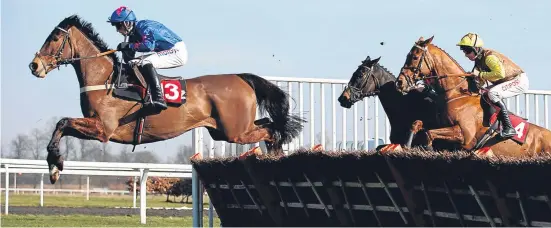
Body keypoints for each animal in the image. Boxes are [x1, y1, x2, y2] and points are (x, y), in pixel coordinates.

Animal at [28, 14, 304, 183]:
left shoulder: (103, 129)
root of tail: (241, 77)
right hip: (226, 130)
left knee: (272, 130)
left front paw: (55, 165)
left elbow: (62, 122)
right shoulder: (96, 127)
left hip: (236, 131)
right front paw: (54, 167)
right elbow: (61, 125)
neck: (106, 79)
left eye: (54, 38)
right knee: (270, 126)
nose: (34, 66)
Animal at [396, 36, 551, 157]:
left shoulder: (465, 136)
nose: (400, 82)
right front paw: (407, 145)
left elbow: (429, 133)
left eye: (414, 57)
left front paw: (427, 147)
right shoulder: (442, 125)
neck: (457, 93)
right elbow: (417, 124)